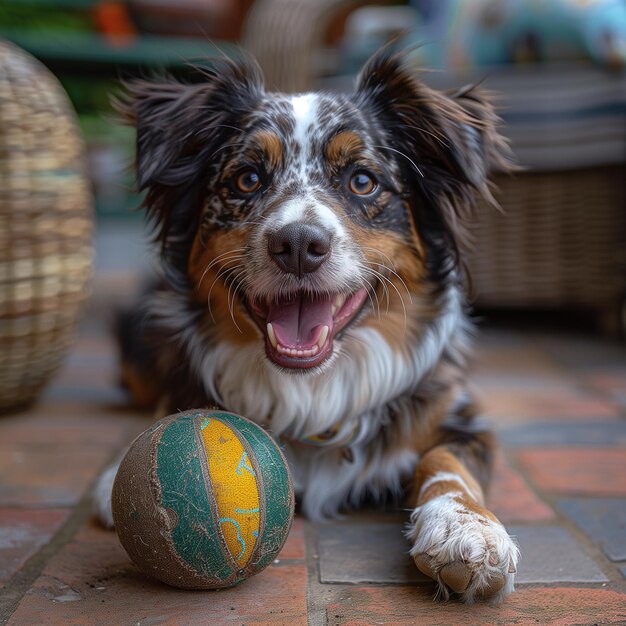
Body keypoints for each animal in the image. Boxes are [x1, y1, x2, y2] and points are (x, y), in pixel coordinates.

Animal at [92, 50, 520, 604]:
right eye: (247, 179)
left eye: (362, 181)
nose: (298, 244)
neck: (315, 386)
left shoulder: (461, 419)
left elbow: (448, 465)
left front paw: (467, 530)